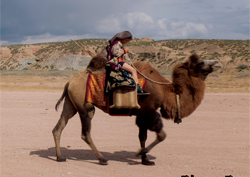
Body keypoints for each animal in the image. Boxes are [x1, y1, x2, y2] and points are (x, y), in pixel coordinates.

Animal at [52, 54, 221, 166]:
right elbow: (161, 135)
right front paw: (140, 153)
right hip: (85, 107)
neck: (165, 91)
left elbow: (142, 136)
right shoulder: (148, 110)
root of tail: (69, 82)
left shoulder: (141, 114)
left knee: (58, 127)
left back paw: (60, 157)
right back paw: (102, 159)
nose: (218, 63)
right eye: (200, 63)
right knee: (85, 133)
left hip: (71, 105)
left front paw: (145, 159)